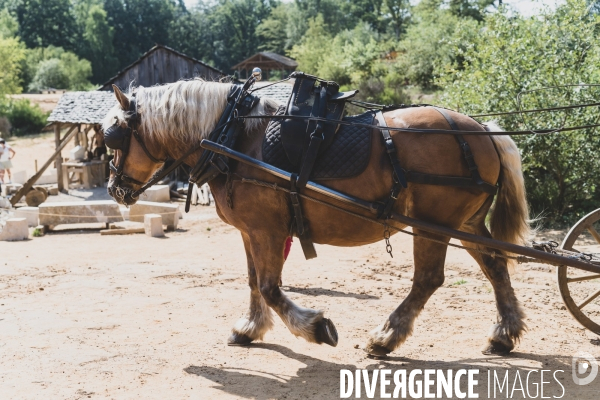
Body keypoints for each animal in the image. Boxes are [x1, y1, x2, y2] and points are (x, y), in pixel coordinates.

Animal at [103, 79, 528, 356]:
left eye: (113, 137)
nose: (114, 188)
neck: (233, 136)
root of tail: (483, 130)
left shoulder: (267, 230)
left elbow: (271, 287)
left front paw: (315, 327)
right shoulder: (250, 231)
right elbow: (254, 281)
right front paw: (250, 328)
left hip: (433, 224)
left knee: (428, 279)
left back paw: (385, 338)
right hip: (465, 223)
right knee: (495, 266)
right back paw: (504, 334)